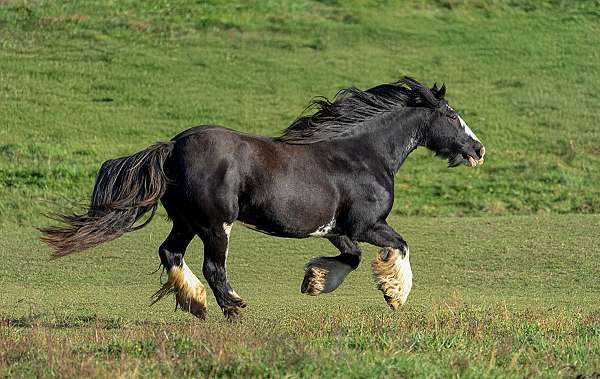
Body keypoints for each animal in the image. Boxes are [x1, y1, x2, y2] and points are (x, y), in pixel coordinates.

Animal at [39, 77, 486, 320]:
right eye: (451, 115)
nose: (478, 150)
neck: (363, 154)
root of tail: (173, 145)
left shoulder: (338, 230)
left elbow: (352, 258)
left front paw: (314, 281)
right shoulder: (367, 225)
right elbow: (400, 246)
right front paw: (395, 295)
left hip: (186, 222)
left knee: (171, 253)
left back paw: (196, 303)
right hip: (215, 225)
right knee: (213, 267)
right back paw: (233, 307)